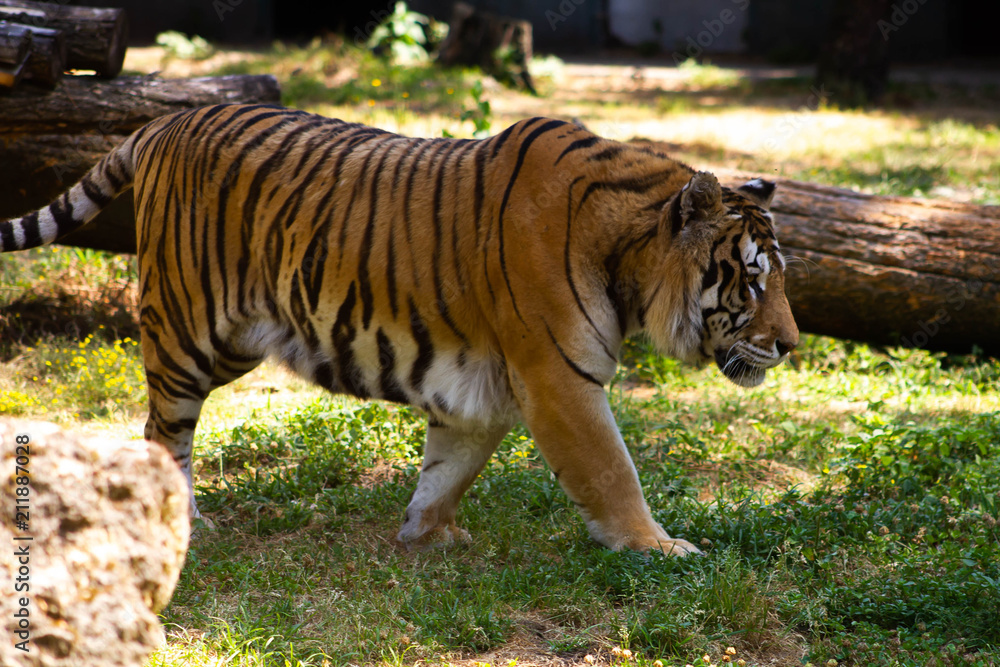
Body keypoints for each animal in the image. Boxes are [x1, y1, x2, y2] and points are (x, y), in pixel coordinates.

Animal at [0, 105, 799, 555]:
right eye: (753, 279)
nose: (790, 345)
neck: (629, 256)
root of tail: (163, 121)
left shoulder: (488, 382)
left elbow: (449, 468)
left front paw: (427, 534)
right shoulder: (558, 380)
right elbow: (612, 471)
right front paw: (657, 547)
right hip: (189, 330)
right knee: (164, 431)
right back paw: (181, 522)